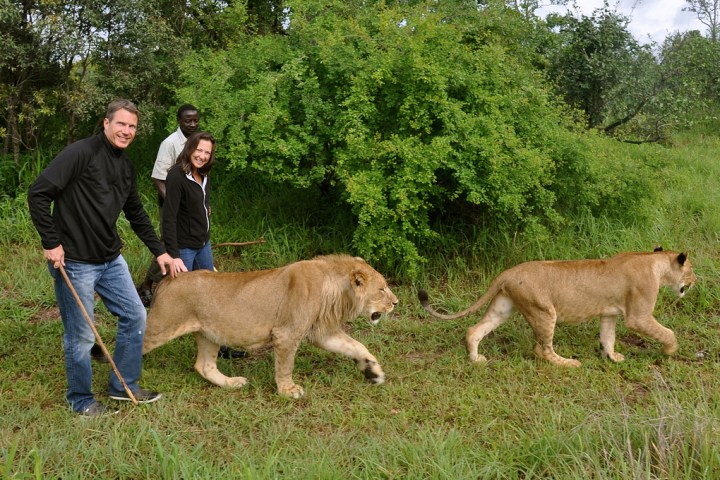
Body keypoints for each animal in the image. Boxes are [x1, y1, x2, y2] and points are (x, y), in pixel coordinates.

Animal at [143, 254, 398, 398]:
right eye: (382, 289)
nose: (396, 303)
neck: (334, 288)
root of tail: (167, 281)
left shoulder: (321, 332)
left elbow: (356, 346)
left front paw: (373, 372)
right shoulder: (287, 333)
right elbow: (286, 365)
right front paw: (288, 391)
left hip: (209, 334)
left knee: (204, 365)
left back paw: (232, 383)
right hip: (161, 325)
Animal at [418, 248, 696, 366]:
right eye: (691, 269)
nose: (694, 281)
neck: (654, 262)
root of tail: (508, 271)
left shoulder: (608, 314)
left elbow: (608, 338)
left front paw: (612, 357)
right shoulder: (638, 316)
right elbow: (667, 332)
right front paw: (670, 350)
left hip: (503, 308)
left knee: (474, 330)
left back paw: (476, 360)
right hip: (543, 311)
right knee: (541, 349)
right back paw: (568, 363)